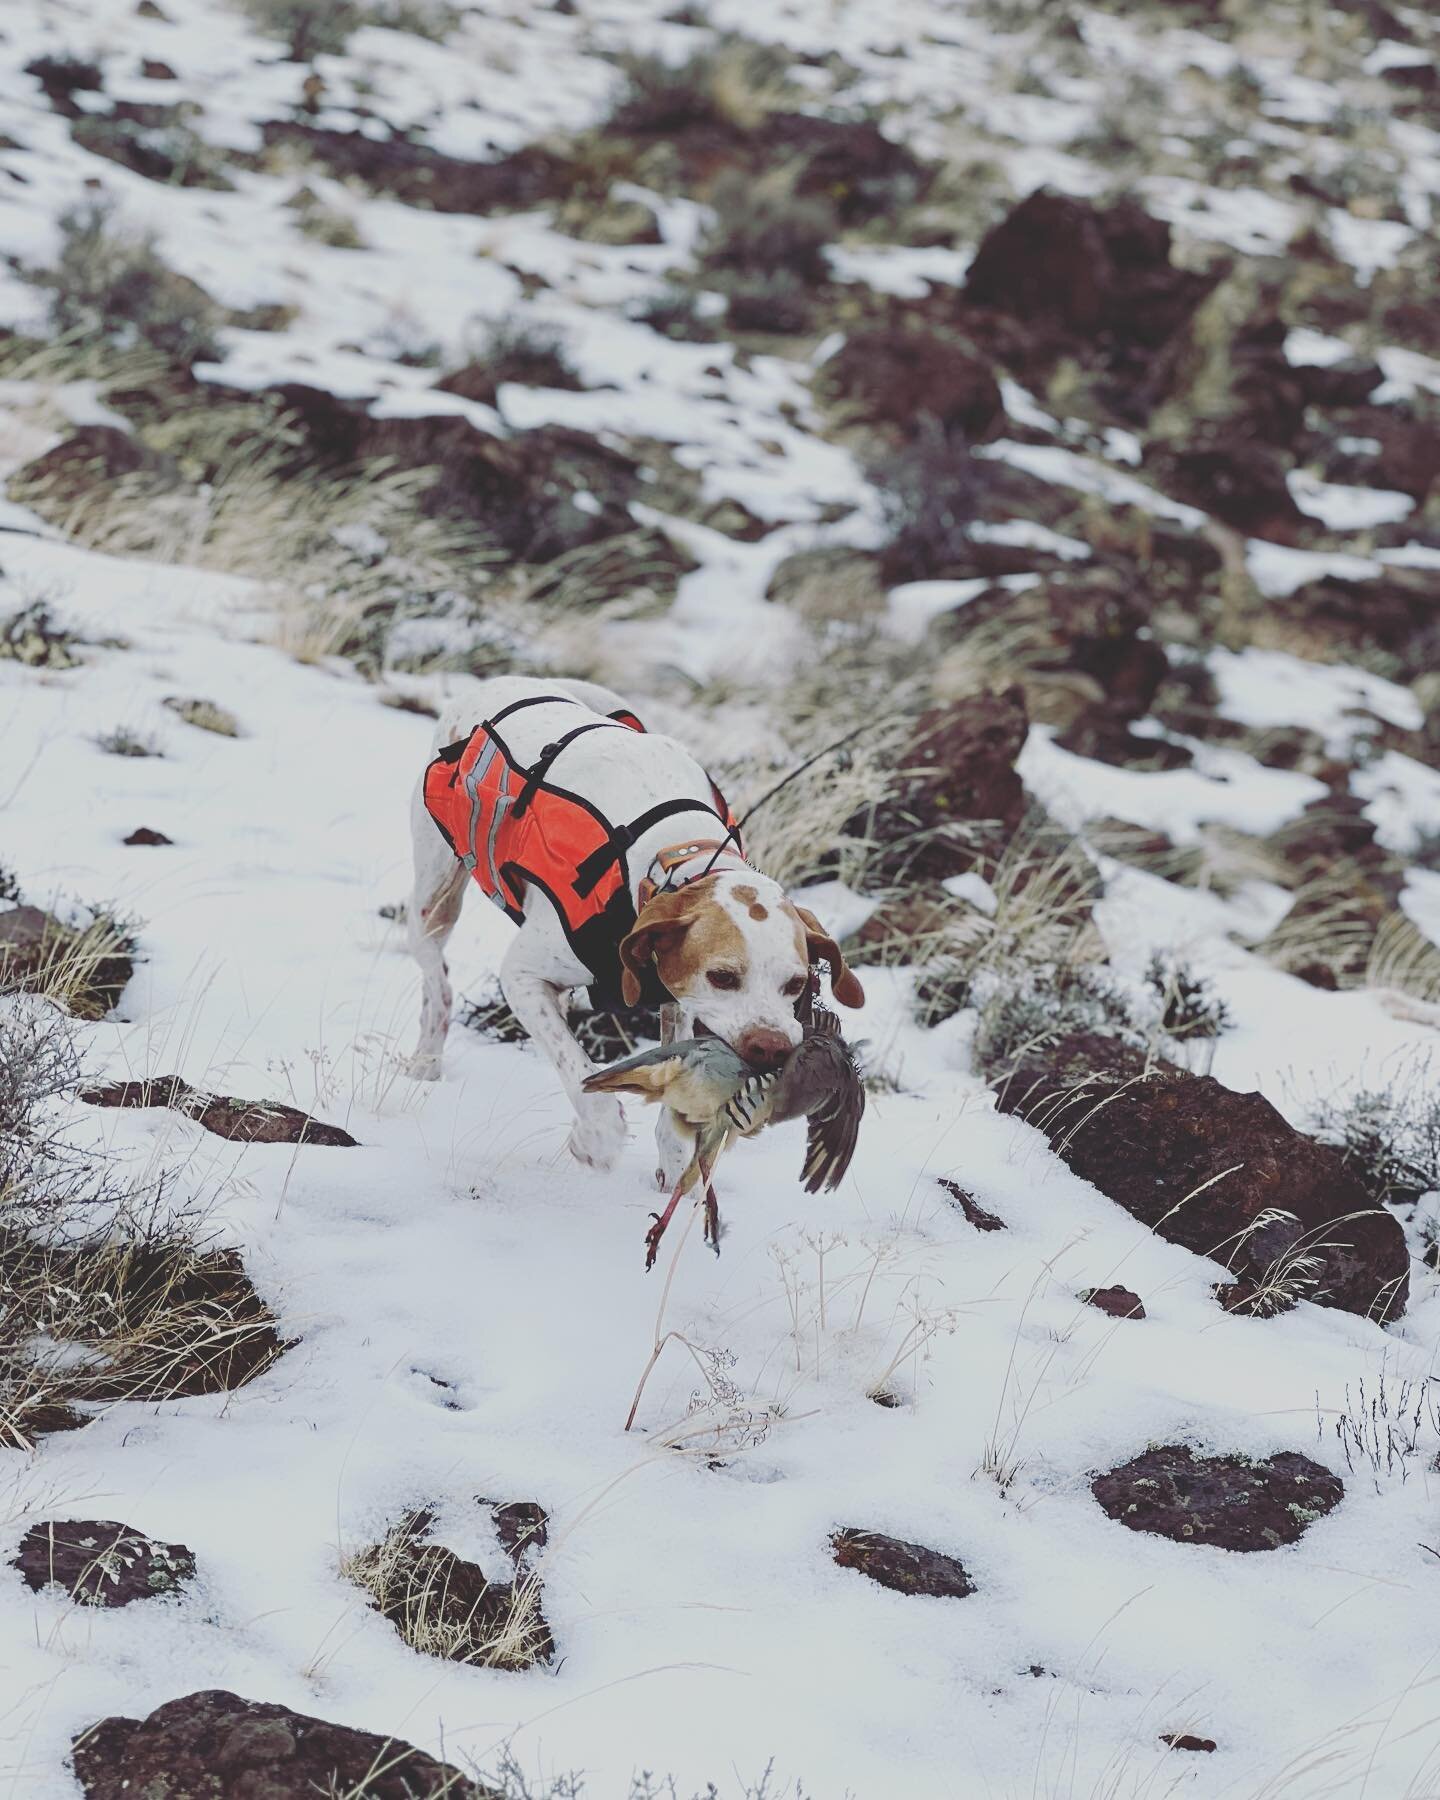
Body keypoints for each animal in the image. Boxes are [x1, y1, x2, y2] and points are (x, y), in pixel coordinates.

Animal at [401, 676, 867, 1180]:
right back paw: (426, 1060)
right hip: (433, 902)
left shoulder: (675, 998)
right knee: (439, 986)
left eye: (797, 984)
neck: (675, 853)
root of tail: (514, 681)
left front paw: (673, 1159)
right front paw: (596, 1139)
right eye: (722, 977)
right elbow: (576, 1067)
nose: (773, 1048)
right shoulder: (521, 976)